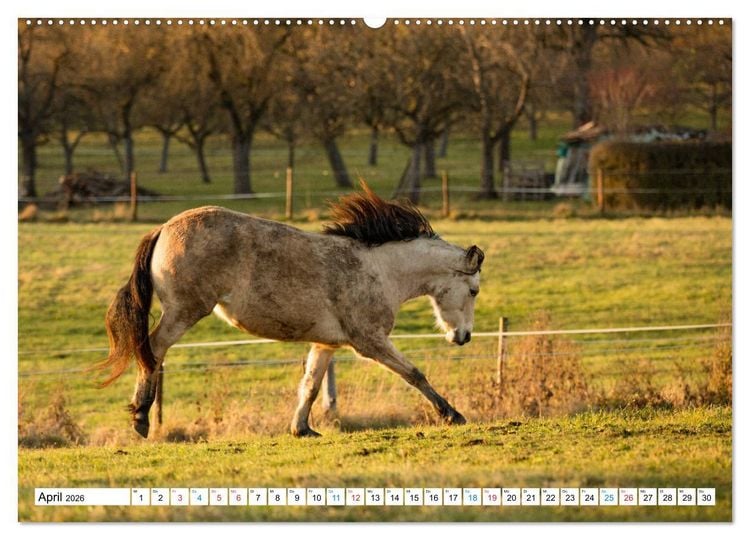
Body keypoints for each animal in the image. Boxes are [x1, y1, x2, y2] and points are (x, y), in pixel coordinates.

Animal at [97, 182, 484, 438]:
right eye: (474, 290)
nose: (464, 337)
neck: (381, 270)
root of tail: (164, 228)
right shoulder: (370, 341)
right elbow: (415, 374)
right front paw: (452, 414)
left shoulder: (328, 344)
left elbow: (310, 385)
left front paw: (302, 429)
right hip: (184, 311)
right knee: (152, 349)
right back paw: (141, 418)